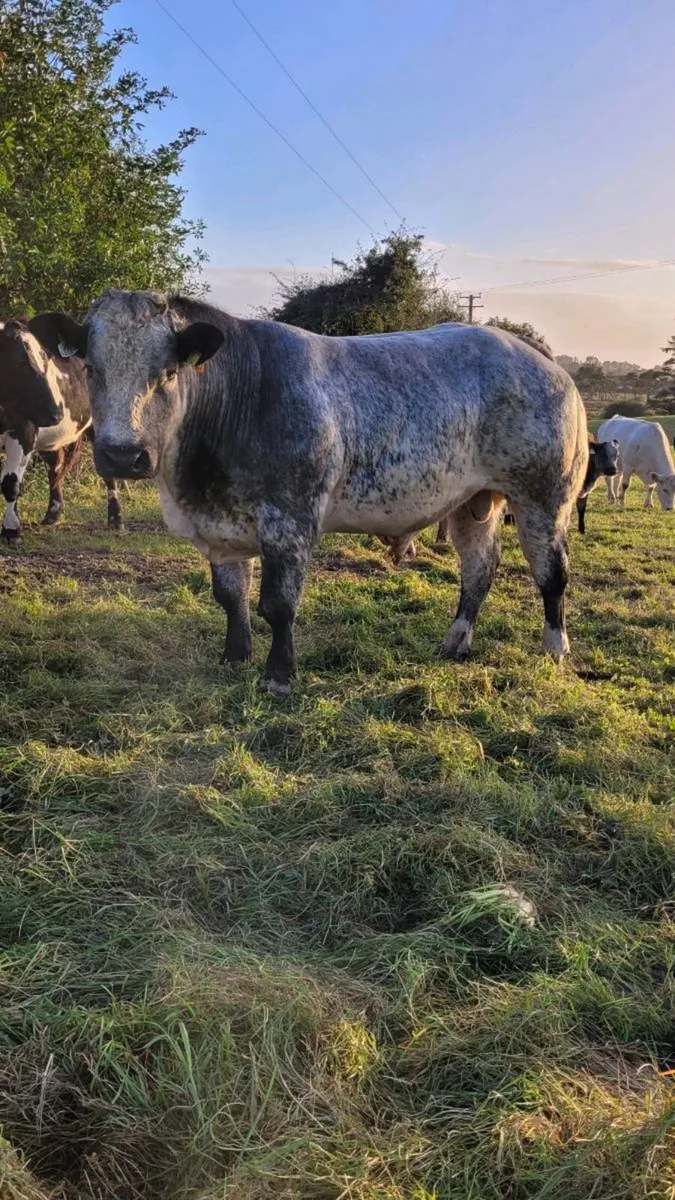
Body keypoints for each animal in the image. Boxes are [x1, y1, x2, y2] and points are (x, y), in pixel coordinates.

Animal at [0, 314, 122, 543]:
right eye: (20, 363)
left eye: (46, 360)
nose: (56, 412)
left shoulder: (24, 433)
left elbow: (11, 484)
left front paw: (11, 530)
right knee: (55, 468)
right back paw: (52, 514)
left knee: (108, 474)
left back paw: (116, 520)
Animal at [42, 290, 588, 694]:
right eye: (91, 368)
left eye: (168, 372)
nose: (122, 456)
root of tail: (545, 363)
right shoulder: (220, 527)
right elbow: (231, 597)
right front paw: (233, 657)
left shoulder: (290, 519)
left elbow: (277, 605)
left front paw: (279, 676)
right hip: (474, 500)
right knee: (480, 568)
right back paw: (455, 641)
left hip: (544, 496)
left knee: (552, 574)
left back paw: (555, 648)